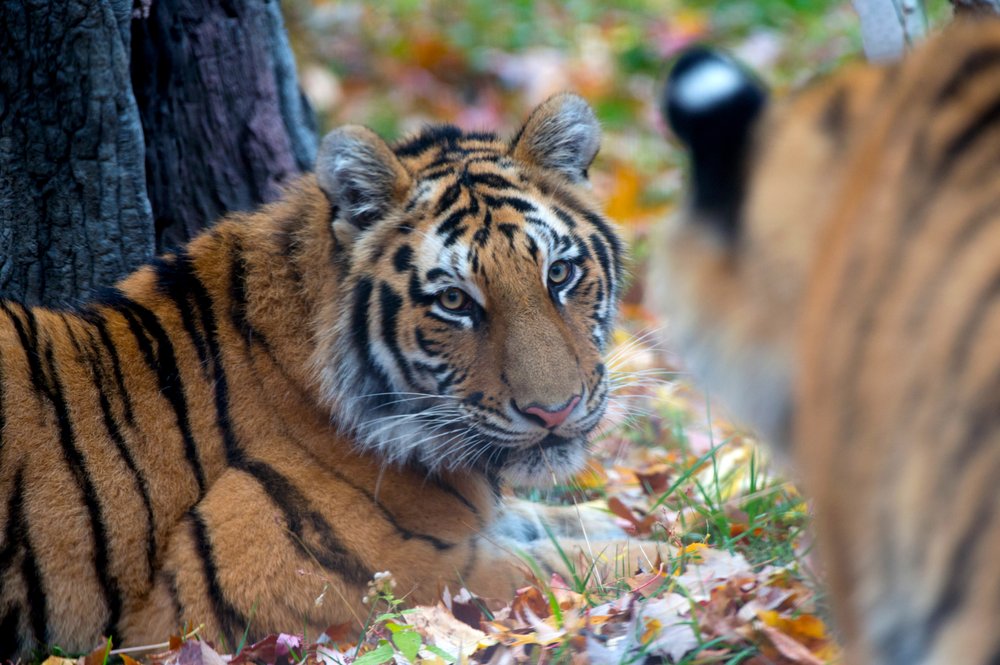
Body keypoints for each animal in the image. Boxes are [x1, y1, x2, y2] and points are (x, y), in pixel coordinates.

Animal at [0, 94, 648, 660]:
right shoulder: (289, 572)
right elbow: (545, 569)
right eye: (454, 301)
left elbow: (545, 522)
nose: (554, 411)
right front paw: (653, 552)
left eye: (559, 273)